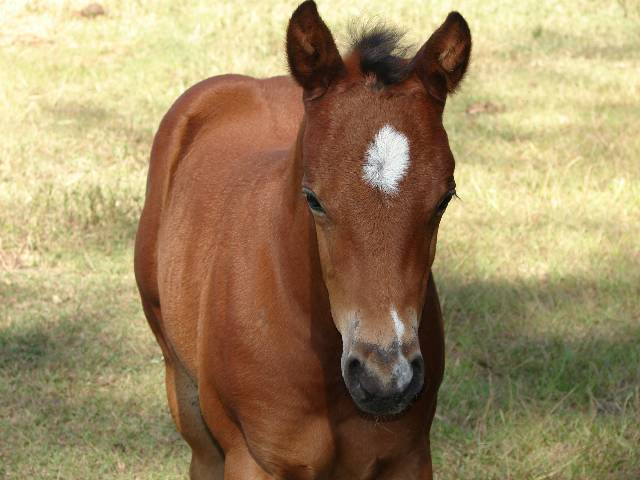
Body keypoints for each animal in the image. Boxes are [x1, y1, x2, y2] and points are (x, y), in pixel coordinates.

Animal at [134, 1, 470, 478]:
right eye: (313, 199)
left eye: (444, 198)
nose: (385, 379)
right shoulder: (253, 460)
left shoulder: (409, 456)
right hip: (185, 392)